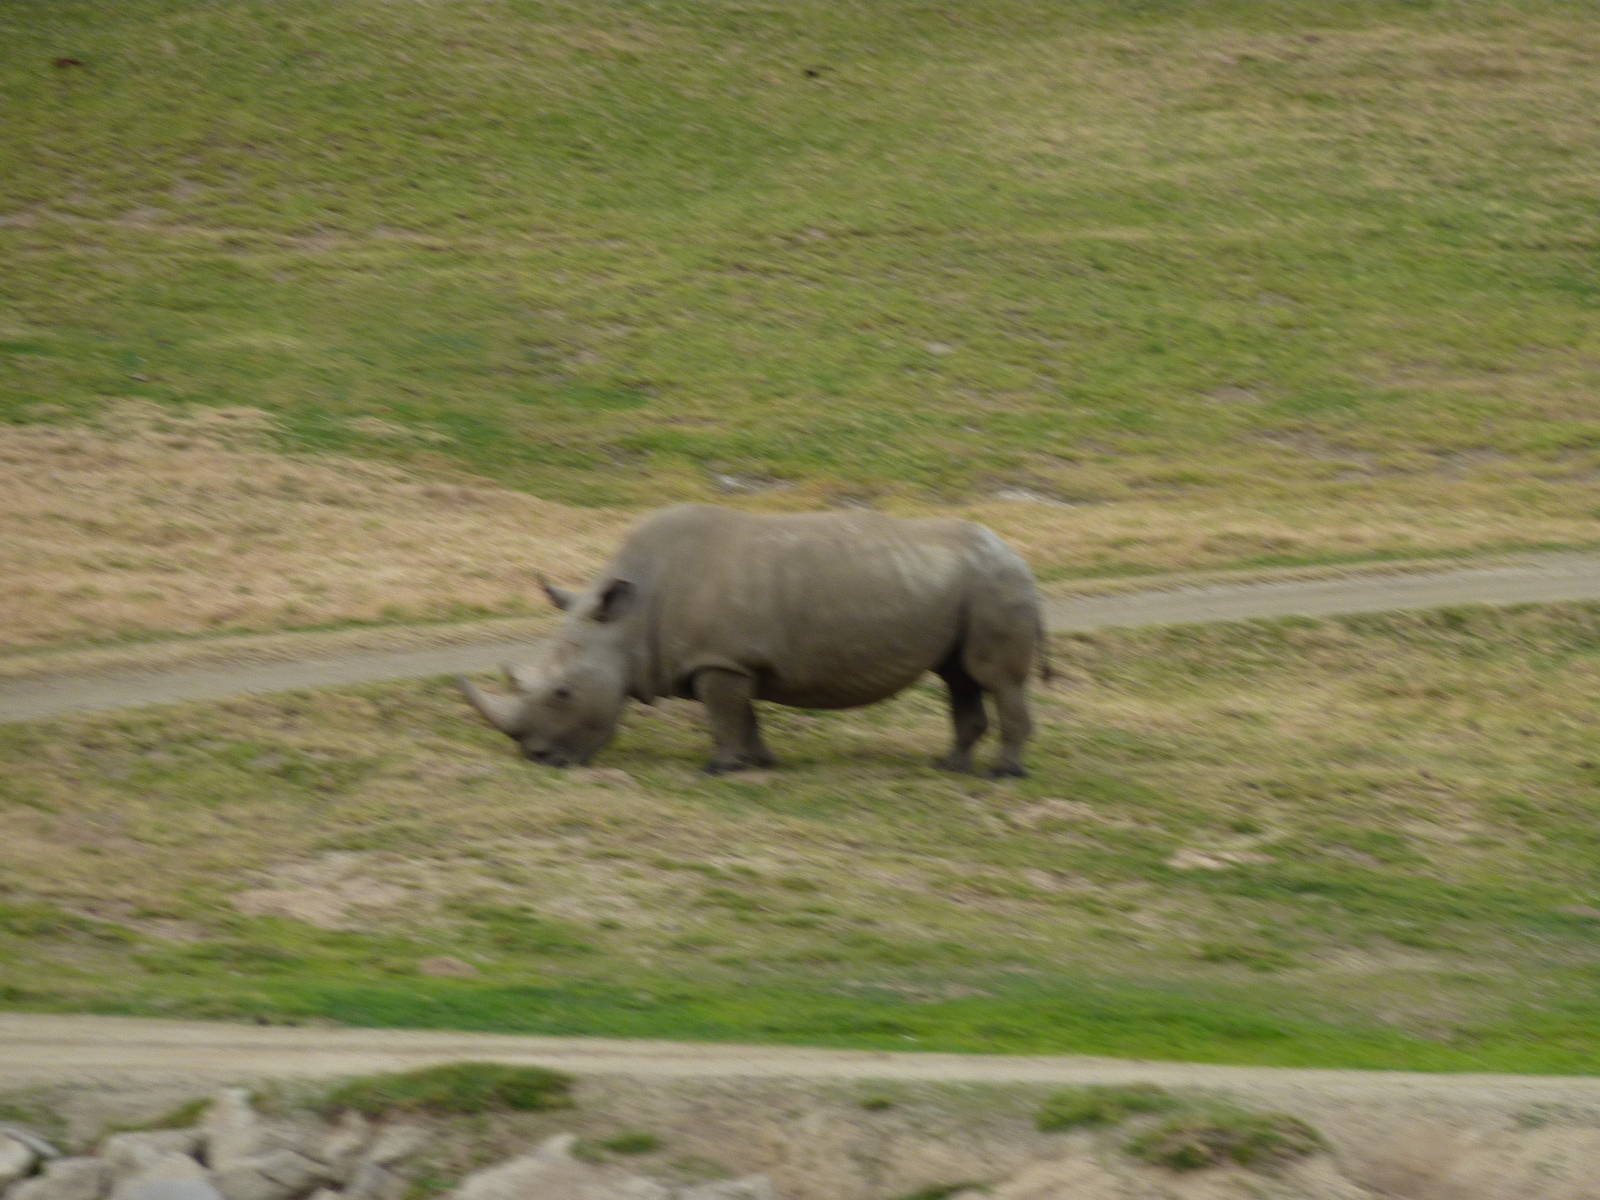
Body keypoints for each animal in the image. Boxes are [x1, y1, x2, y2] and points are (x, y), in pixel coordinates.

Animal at [457, 504, 1051, 776]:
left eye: (562, 693)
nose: (538, 757)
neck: (626, 620)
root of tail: (1019, 558)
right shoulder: (733, 661)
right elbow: (744, 715)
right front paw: (759, 763)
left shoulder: (719, 661)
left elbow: (724, 715)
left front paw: (719, 769)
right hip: (968, 582)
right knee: (957, 677)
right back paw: (950, 767)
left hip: (995, 584)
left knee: (994, 678)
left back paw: (1002, 774)